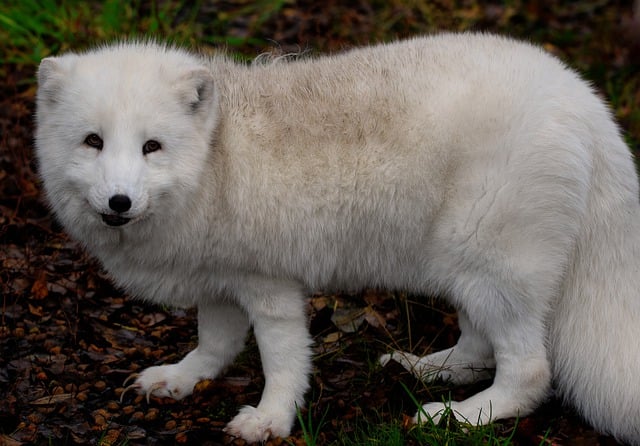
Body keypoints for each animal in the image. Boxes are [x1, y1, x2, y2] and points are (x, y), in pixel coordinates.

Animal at [33, 34, 640, 442]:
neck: (215, 160)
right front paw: (184, 380)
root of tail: (588, 102)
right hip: (461, 265)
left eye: (151, 146)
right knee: (480, 344)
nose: (118, 203)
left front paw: (270, 419)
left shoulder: (269, 284)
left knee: (530, 370)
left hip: (491, 264)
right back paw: (432, 370)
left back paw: (462, 417)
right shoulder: (220, 279)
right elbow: (215, 344)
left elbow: (282, 360)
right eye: (93, 141)